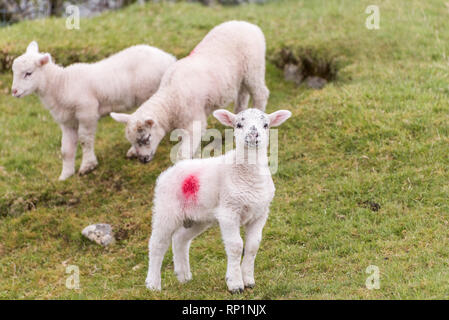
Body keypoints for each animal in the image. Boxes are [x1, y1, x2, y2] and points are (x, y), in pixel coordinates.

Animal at [10, 40, 175, 180]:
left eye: (28, 73)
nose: (14, 91)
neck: (61, 84)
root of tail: (168, 58)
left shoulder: (87, 112)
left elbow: (84, 139)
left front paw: (88, 166)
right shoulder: (67, 121)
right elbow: (65, 150)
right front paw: (65, 175)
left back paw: (134, 150)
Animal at [110, 19, 270, 164]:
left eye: (146, 138)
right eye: (132, 141)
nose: (143, 160)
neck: (170, 97)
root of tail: (249, 25)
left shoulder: (195, 121)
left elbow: (183, 152)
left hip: (253, 67)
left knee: (261, 93)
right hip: (240, 75)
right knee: (243, 94)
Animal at [144, 107, 290, 292]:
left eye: (266, 125)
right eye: (238, 124)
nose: (253, 135)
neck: (248, 174)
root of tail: (169, 171)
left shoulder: (260, 213)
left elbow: (252, 246)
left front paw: (249, 280)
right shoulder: (228, 212)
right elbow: (236, 246)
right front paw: (235, 284)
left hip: (197, 218)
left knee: (180, 239)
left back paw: (184, 277)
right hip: (166, 209)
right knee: (157, 244)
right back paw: (153, 284)